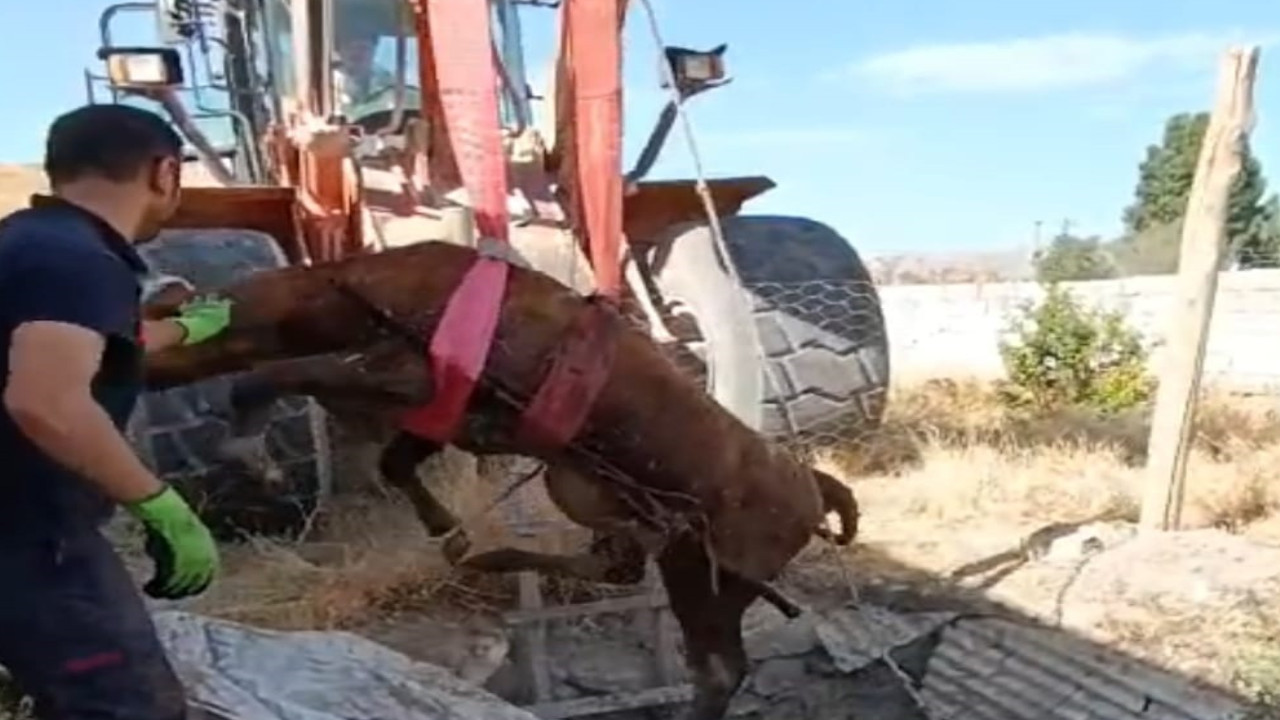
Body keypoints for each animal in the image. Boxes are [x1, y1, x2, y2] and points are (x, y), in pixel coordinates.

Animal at [145, 242, 860, 717]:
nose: (137, 370)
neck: (369, 292)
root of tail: (814, 486)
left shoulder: (405, 376)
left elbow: (272, 377)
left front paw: (249, 448)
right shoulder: (444, 413)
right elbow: (392, 462)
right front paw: (449, 530)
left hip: (707, 573)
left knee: (717, 666)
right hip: (638, 525)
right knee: (620, 574)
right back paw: (492, 556)